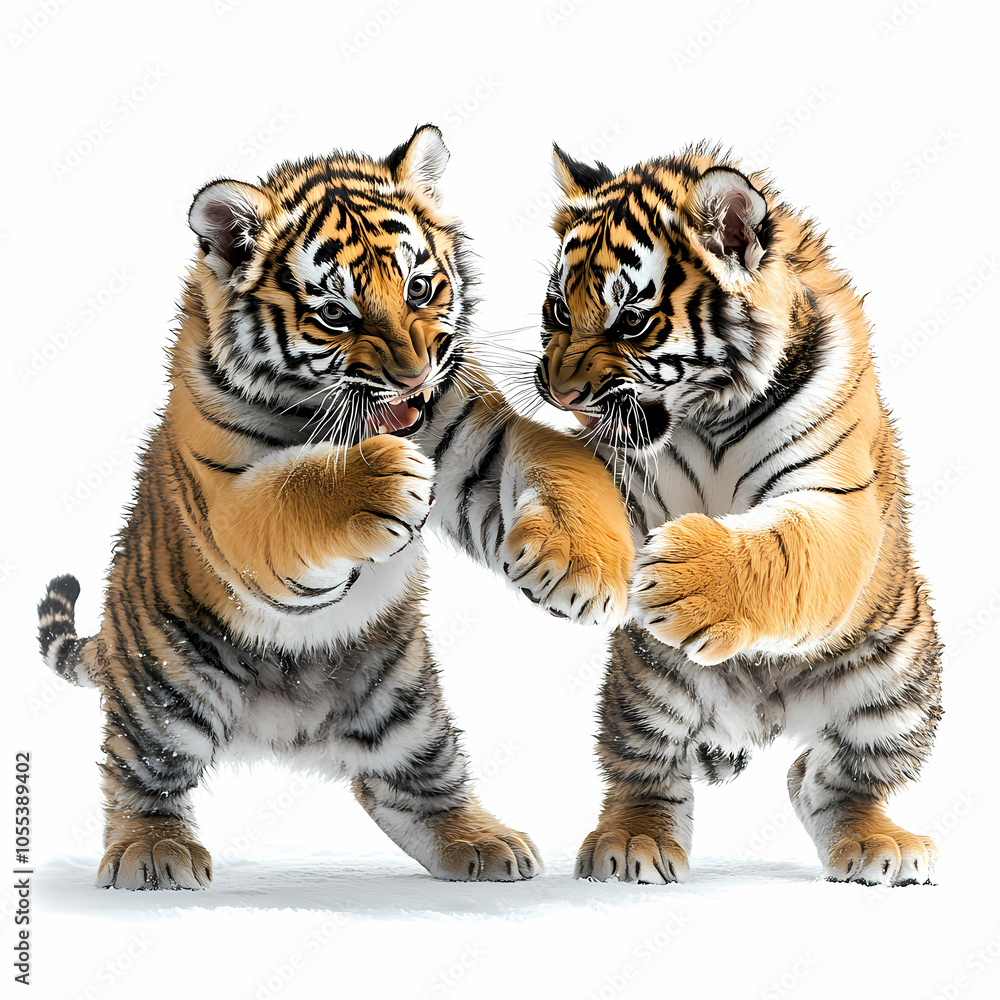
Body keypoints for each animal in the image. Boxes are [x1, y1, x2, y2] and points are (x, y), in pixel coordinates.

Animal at [35, 125, 634, 890]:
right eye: (334, 316)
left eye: (418, 287)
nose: (412, 376)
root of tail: (278, 731)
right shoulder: (228, 505)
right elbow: (292, 492)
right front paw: (380, 479)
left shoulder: (479, 439)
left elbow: (559, 464)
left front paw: (581, 569)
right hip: (163, 693)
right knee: (141, 775)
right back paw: (153, 852)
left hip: (406, 705)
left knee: (405, 787)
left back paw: (480, 841)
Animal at [531, 142, 942, 886]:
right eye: (555, 309)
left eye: (630, 321)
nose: (560, 391)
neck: (709, 410)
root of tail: (762, 716)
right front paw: (562, 554)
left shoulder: (833, 499)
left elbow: (784, 548)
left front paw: (687, 577)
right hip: (645, 687)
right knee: (646, 773)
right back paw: (630, 843)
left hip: (898, 682)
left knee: (831, 780)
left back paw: (880, 846)